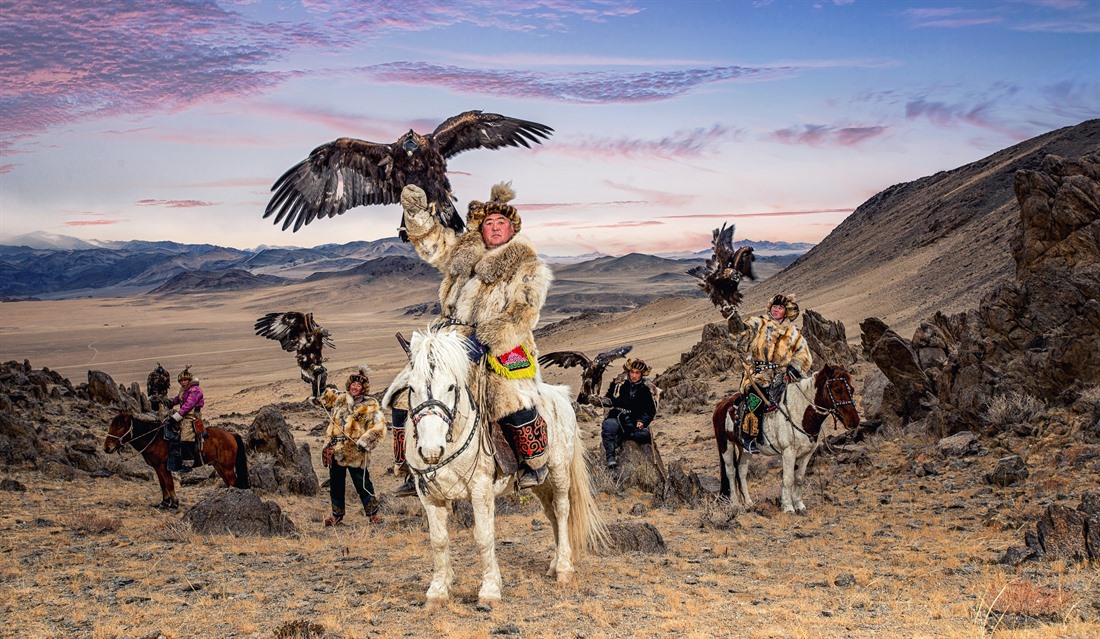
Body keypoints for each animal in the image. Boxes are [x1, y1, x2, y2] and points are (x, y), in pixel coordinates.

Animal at [382, 325, 607, 611]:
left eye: (451, 387)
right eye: (411, 388)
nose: (431, 451)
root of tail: (561, 396)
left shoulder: (480, 491)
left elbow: (483, 536)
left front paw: (489, 590)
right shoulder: (429, 496)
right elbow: (438, 541)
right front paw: (438, 591)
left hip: (558, 471)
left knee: (562, 510)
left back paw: (564, 569)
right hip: (540, 482)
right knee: (551, 515)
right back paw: (555, 564)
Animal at [712, 362, 858, 512]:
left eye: (852, 389)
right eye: (837, 390)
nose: (854, 421)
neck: (800, 413)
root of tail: (721, 405)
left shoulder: (807, 453)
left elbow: (799, 478)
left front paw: (799, 505)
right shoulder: (788, 452)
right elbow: (788, 479)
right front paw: (788, 507)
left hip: (745, 448)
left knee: (741, 471)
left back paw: (748, 503)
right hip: (726, 445)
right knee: (731, 472)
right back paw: (735, 504)